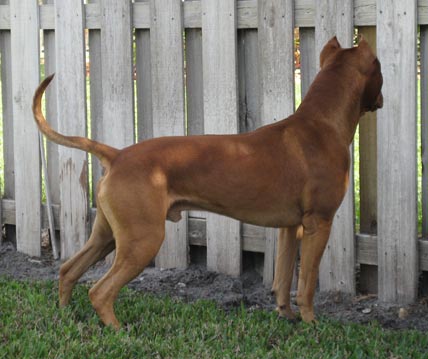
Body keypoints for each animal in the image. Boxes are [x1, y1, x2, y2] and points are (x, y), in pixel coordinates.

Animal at [31, 35, 382, 330]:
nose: (381, 97)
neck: (320, 123)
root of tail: (117, 155)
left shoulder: (290, 228)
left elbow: (283, 280)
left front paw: (288, 316)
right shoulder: (318, 224)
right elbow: (307, 282)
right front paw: (310, 323)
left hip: (108, 236)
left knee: (68, 271)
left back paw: (65, 315)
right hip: (143, 239)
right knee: (100, 291)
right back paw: (118, 330)